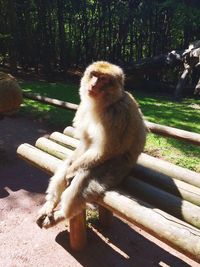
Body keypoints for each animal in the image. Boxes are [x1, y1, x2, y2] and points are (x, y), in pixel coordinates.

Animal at [37, 61, 147, 229]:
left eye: (103, 79)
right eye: (94, 75)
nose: (93, 84)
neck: (104, 104)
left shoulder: (116, 114)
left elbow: (107, 150)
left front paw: (71, 173)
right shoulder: (83, 108)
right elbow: (85, 143)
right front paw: (69, 170)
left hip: (116, 170)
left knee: (84, 177)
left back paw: (63, 213)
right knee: (68, 165)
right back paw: (50, 203)